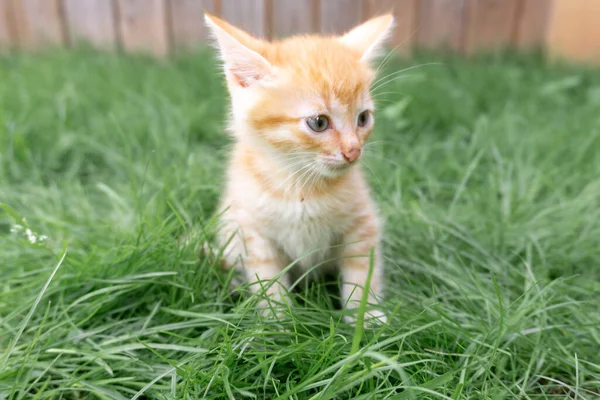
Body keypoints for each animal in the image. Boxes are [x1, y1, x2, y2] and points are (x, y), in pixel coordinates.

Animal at [204, 13, 396, 324]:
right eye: (318, 122)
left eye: (363, 118)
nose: (353, 151)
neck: (301, 186)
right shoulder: (254, 232)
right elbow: (268, 281)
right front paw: (279, 324)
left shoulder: (363, 223)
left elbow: (361, 273)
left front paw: (365, 318)